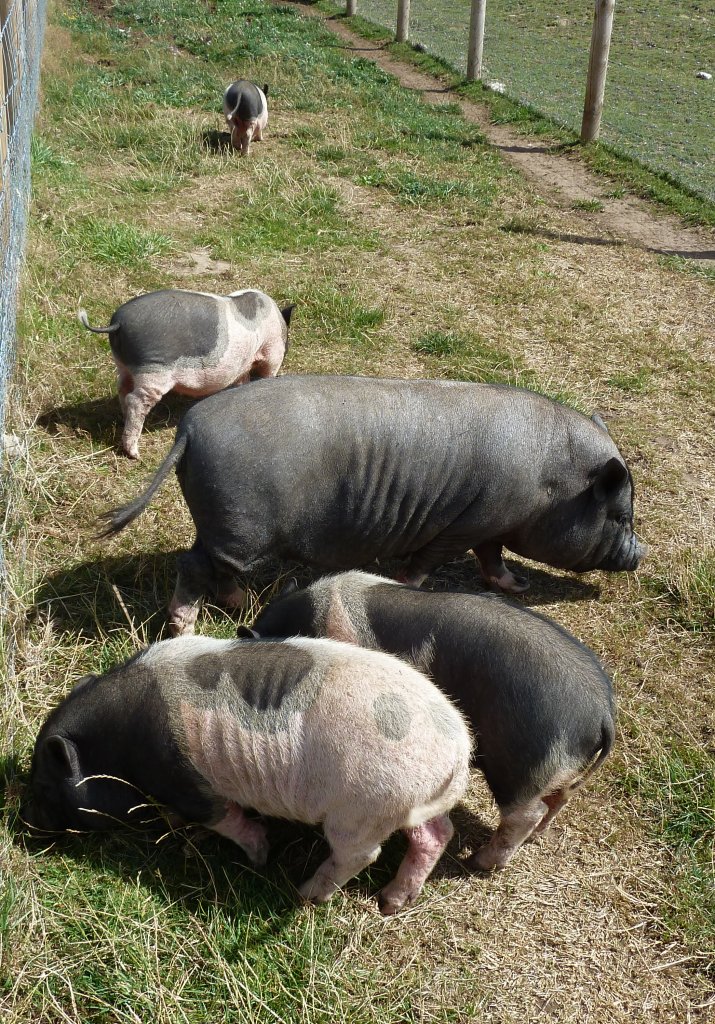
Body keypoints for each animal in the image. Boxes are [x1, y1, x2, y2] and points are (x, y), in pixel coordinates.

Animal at [22, 635, 471, 915]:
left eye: (43, 786)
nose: (27, 827)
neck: (114, 746)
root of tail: (459, 751)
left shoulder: (188, 784)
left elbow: (226, 819)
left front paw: (258, 857)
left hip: (364, 806)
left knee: (361, 853)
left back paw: (304, 894)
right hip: (408, 804)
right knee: (436, 835)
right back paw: (391, 903)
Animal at [79, 288, 293, 459]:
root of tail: (118, 323)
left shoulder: (243, 367)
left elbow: (242, 381)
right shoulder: (272, 351)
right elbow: (267, 372)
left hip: (124, 366)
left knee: (123, 391)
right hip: (153, 369)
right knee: (136, 401)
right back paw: (135, 454)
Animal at [100, 375, 646, 635]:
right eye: (620, 515)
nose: (639, 554)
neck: (549, 483)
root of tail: (189, 430)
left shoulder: (489, 528)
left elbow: (494, 560)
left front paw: (518, 585)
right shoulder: (463, 527)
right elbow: (429, 562)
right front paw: (406, 585)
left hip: (226, 527)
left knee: (213, 564)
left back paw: (238, 603)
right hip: (240, 524)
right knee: (192, 563)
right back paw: (188, 624)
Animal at [249, 570, 616, 870]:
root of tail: (603, 712)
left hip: (522, 766)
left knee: (526, 813)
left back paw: (479, 863)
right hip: (560, 770)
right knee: (560, 797)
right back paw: (537, 836)